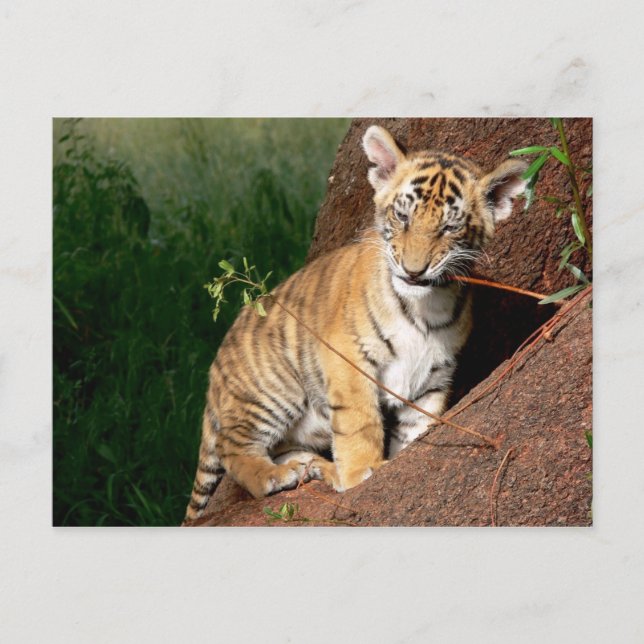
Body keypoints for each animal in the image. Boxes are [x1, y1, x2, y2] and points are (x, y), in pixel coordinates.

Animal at [184, 125, 527, 522]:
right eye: (402, 217)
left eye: (449, 228)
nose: (414, 271)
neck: (426, 303)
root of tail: (216, 367)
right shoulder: (348, 359)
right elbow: (360, 421)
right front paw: (363, 470)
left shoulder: (433, 377)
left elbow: (418, 428)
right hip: (272, 389)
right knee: (232, 448)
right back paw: (278, 476)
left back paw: (311, 466)